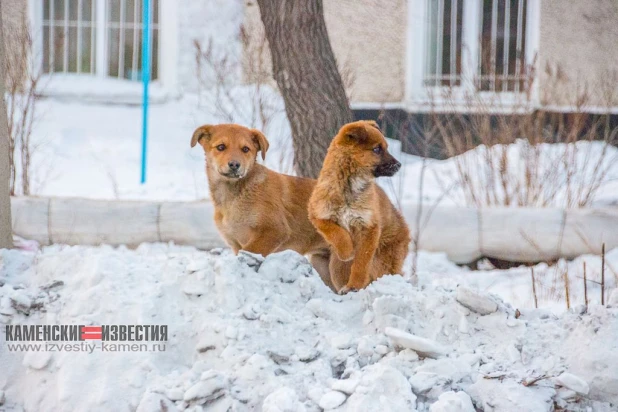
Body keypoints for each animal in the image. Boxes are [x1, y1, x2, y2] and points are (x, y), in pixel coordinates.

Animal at [190, 122, 332, 284]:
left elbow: (249, 252)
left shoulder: (275, 230)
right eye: (221, 147)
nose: (234, 165)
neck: (235, 196)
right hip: (323, 265)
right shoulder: (235, 243)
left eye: (245, 149)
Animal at [306, 119, 410, 292]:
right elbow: (336, 232)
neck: (348, 186)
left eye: (386, 147)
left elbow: (361, 262)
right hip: (327, 265)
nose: (399, 165)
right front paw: (346, 251)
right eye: (377, 149)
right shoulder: (318, 215)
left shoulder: (369, 227)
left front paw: (355, 285)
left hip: (383, 260)